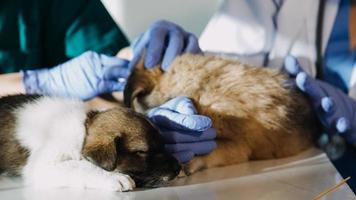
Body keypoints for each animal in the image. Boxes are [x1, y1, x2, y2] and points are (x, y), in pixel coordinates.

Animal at [0, 94, 181, 190]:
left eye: (163, 144)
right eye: (142, 152)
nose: (179, 168)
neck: (84, 129)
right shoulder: (43, 164)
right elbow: (81, 165)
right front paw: (114, 177)